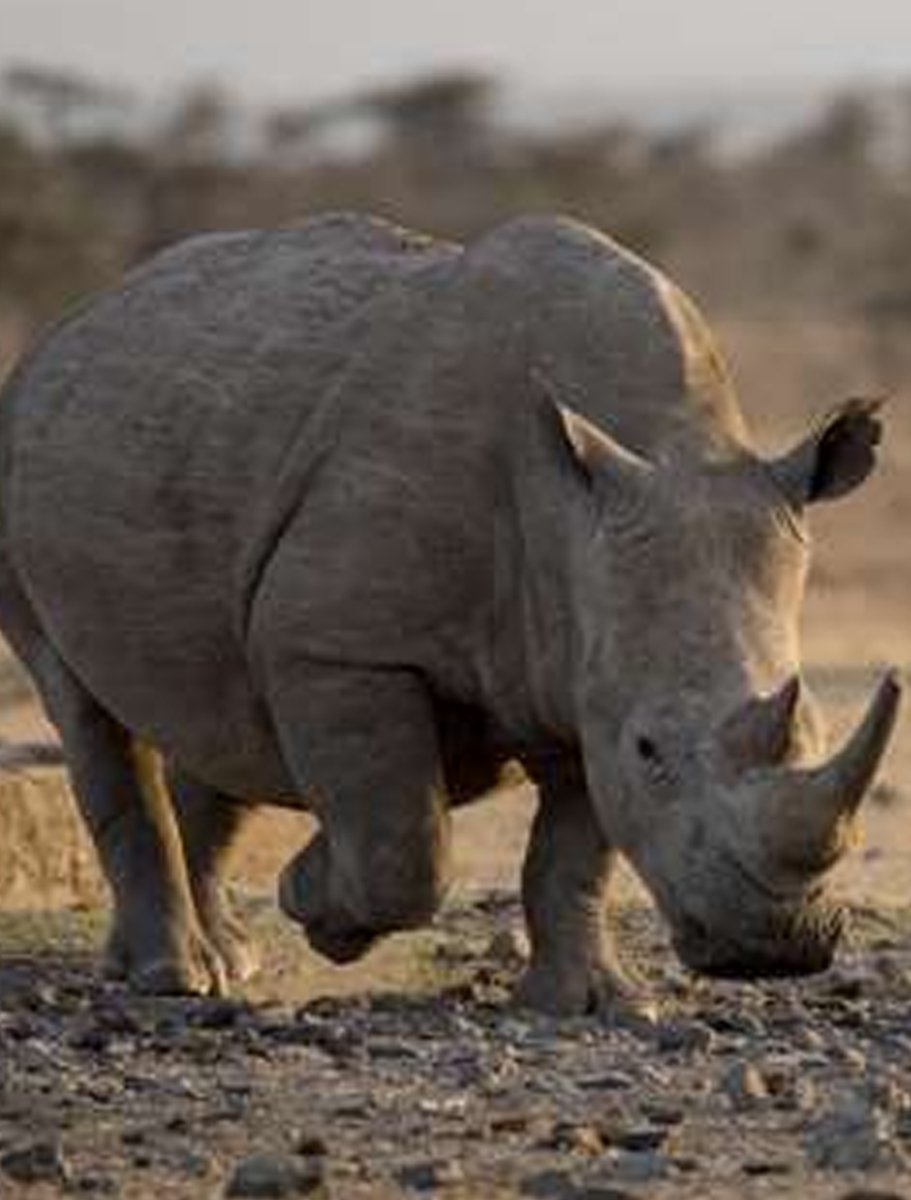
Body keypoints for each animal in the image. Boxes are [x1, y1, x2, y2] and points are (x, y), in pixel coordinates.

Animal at [0, 212, 900, 1014]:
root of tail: (77, 319)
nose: (776, 948)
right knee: (88, 711)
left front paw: (590, 1003)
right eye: (650, 751)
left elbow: (571, 859)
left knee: (213, 716)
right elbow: (403, 848)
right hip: (21, 457)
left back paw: (218, 961)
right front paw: (313, 899)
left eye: (815, 727)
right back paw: (174, 978)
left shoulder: (583, 671)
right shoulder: (334, 647)